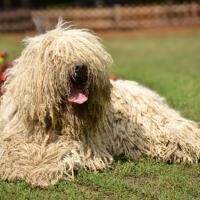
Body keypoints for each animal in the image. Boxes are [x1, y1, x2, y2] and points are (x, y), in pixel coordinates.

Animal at [0, 22, 200, 187]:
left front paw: (40, 170)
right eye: (56, 56)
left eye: (86, 54)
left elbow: (58, 153)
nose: (81, 66)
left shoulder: (78, 144)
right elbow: (11, 148)